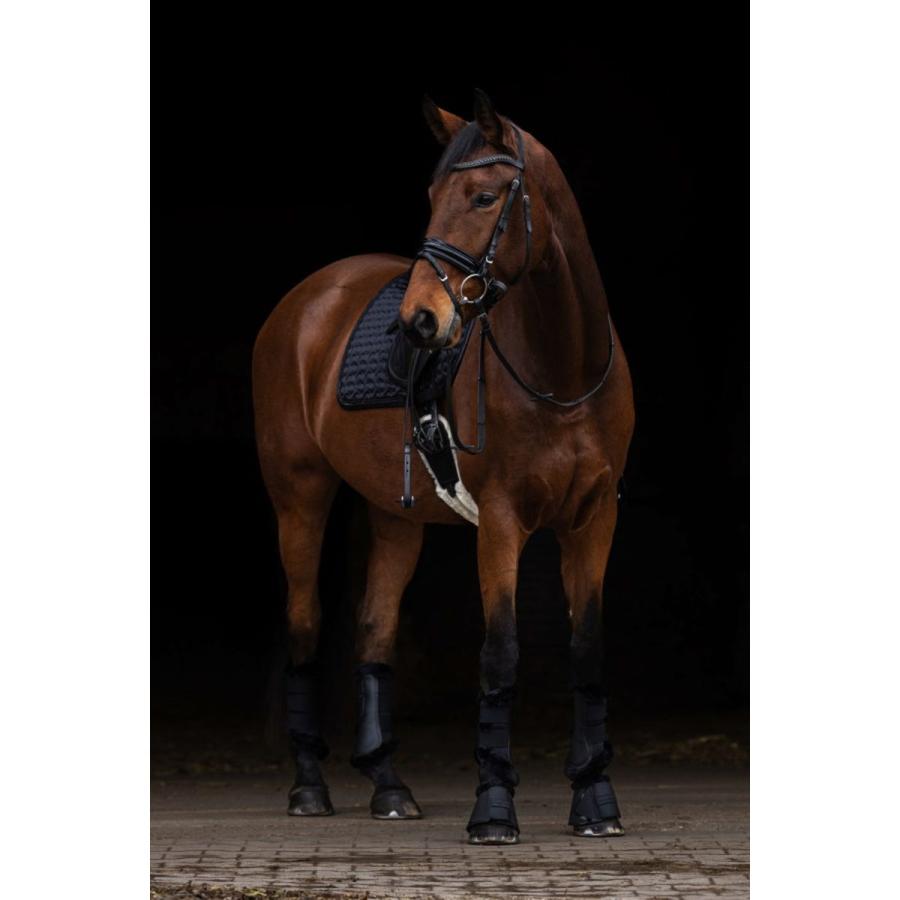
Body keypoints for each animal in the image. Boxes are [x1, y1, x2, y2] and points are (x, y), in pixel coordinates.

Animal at [251, 88, 635, 845]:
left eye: (484, 196)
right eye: (433, 196)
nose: (418, 322)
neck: (564, 370)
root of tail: (304, 300)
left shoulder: (593, 519)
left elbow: (586, 650)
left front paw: (594, 799)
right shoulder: (503, 522)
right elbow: (501, 652)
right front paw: (493, 808)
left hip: (394, 519)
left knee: (374, 632)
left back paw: (389, 786)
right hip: (299, 500)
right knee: (306, 625)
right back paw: (309, 787)